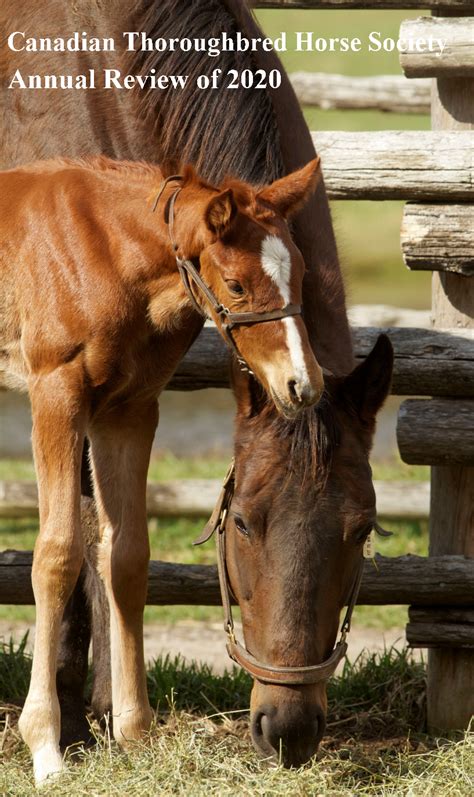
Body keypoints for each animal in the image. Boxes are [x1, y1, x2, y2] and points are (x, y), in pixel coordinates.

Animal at [0, 154, 322, 776]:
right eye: (237, 284)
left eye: (298, 275)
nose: (303, 385)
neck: (103, 251)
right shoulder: (55, 392)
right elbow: (56, 554)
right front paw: (46, 745)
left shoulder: (128, 409)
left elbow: (126, 556)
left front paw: (135, 731)